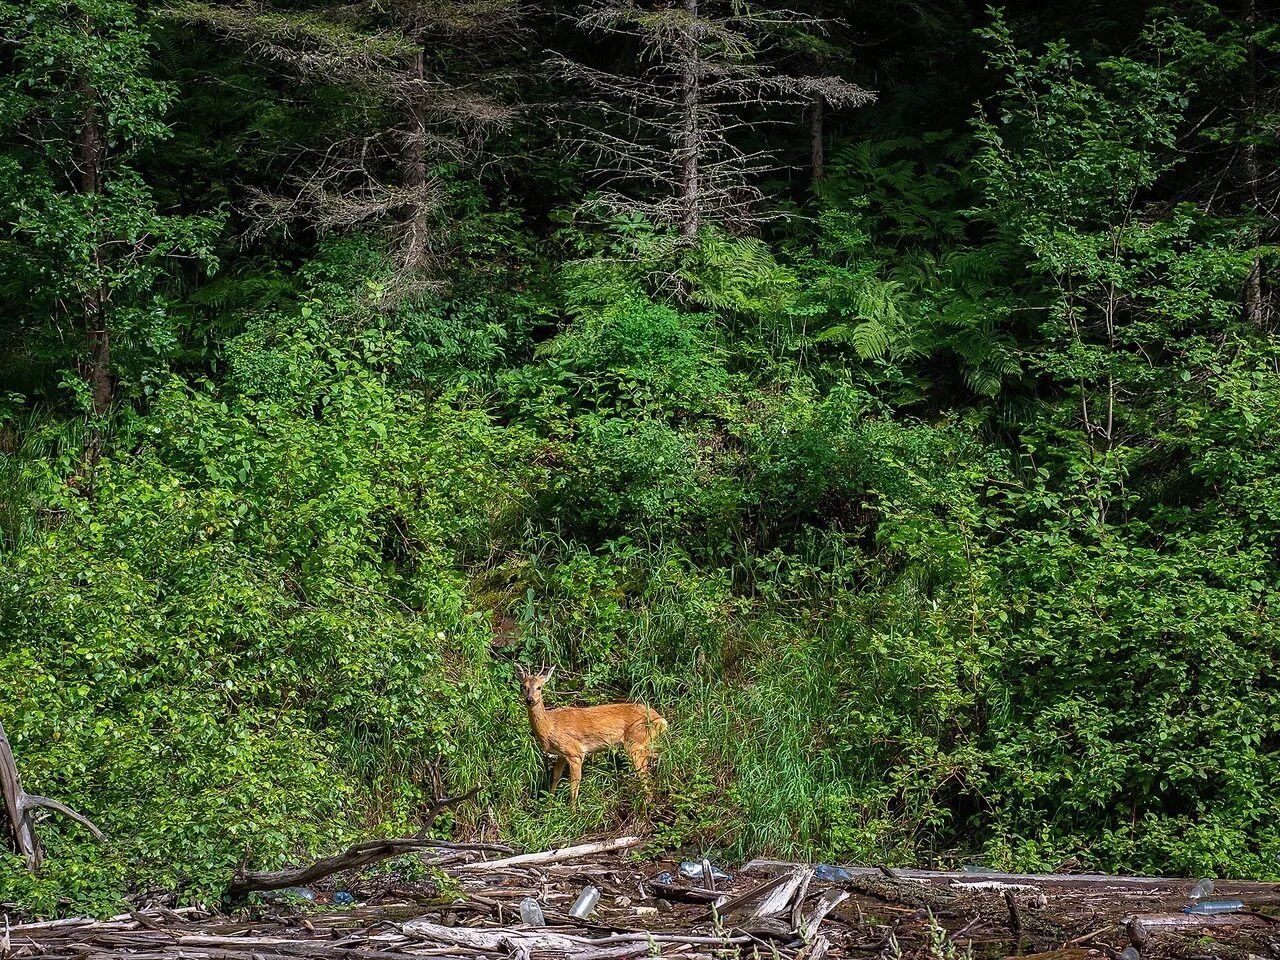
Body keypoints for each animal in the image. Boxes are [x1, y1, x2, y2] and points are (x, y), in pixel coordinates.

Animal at [514, 665, 670, 808]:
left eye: (539, 687)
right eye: (523, 686)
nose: (529, 700)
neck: (550, 726)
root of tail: (662, 720)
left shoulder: (575, 753)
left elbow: (574, 784)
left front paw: (573, 812)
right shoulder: (561, 754)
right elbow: (556, 776)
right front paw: (550, 804)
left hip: (635, 742)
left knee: (645, 775)